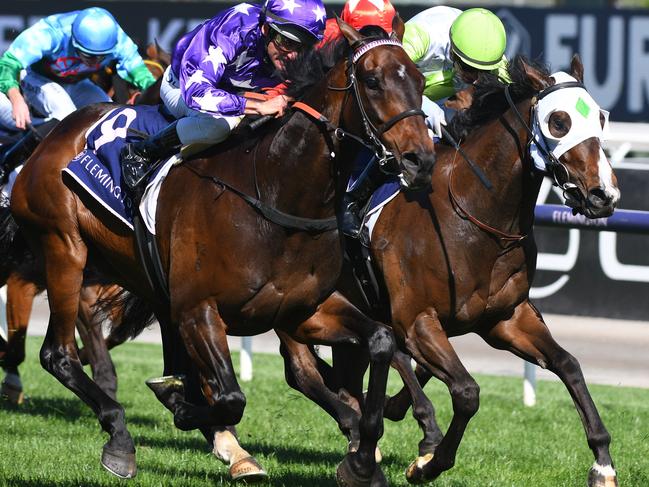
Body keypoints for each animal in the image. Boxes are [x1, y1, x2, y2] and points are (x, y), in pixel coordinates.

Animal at [7, 21, 432, 486]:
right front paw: (182, 410)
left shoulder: (302, 310)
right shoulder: (200, 309)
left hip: (150, 284)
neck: (274, 192)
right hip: (64, 248)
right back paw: (120, 435)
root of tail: (53, 136)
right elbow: (231, 396)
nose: (421, 159)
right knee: (58, 354)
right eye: (372, 81)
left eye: (420, 81)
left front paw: (363, 459)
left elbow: (380, 340)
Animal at [276, 54, 620, 487]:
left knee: (344, 372)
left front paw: (603, 462)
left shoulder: (506, 319)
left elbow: (569, 365)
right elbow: (467, 392)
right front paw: (428, 461)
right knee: (302, 371)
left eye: (603, 117)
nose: (604, 194)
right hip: (296, 305)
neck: (475, 216)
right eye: (559, 121)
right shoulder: (416, 321)